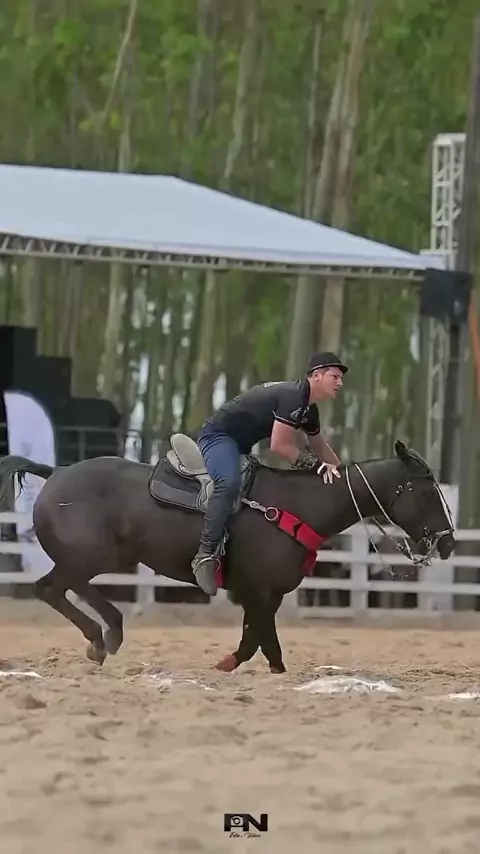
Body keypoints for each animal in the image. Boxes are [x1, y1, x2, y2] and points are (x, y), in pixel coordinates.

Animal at [0, 436, 455, 674]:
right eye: (426, 489)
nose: (449, 543)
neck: (296, 506)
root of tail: (56, 473)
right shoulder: (259, 592)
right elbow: (264, 642)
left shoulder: (264, 595)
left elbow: (258, 641)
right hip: (88, 556)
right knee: (53, 588)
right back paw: (102, 635)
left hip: (98, 557)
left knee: (64, 589)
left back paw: (107, 632)